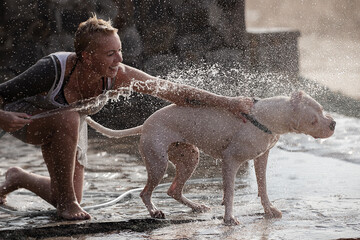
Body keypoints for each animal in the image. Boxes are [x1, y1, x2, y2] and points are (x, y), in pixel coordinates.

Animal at [86, 91, 334, 225]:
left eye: (322, 108)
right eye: (315, 116)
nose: (333, 123)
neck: (266, 117)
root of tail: (145, 124)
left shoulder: (261, 157)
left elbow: (262, 187)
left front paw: (269, 210)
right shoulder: (230, 161)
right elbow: (230, 193)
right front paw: (229, 218)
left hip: (189, 157)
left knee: (173, 189)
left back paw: (196, 206)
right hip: (158, 163)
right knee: (145, 192)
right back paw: (155, 211)